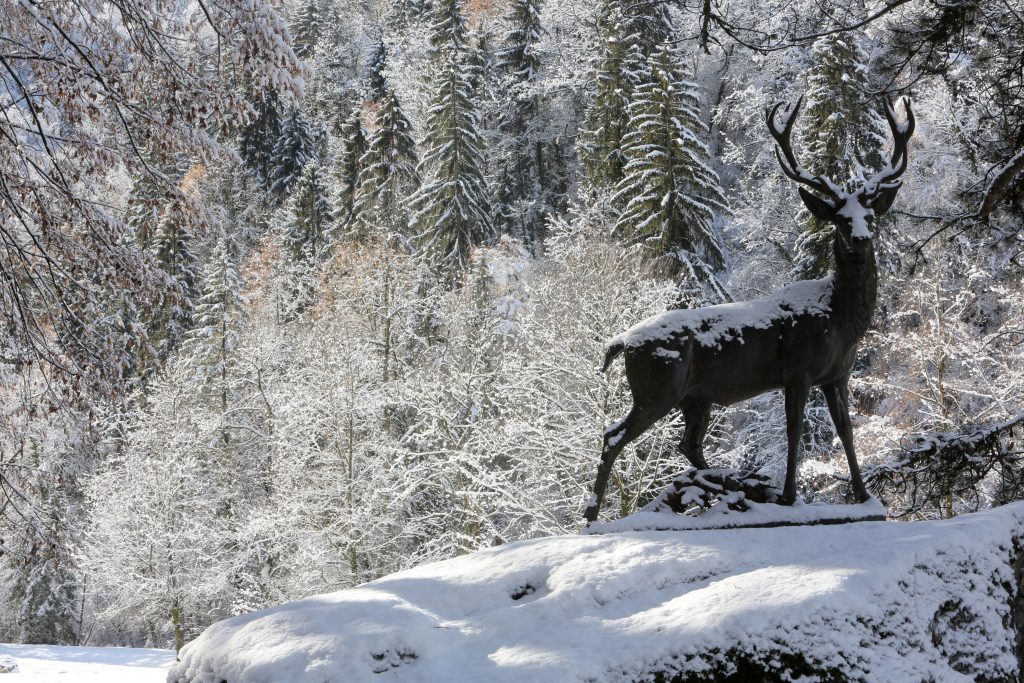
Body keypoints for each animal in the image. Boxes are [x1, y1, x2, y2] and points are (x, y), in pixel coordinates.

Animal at [585, 96, 921, 524]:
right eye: (841, 220)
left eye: (870, 216)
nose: (861, 239)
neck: (840, 323)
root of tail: (621, 343)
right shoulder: (797, 371)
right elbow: (794, 431)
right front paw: (790, 497)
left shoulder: (837, 375)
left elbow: (846, 430)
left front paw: (864, 497)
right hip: (657, 388)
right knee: (613, 436)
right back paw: (592, 514)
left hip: (694, 398)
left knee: (687, 444)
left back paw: (725, 482)